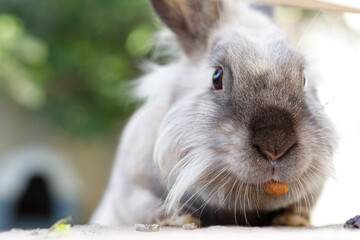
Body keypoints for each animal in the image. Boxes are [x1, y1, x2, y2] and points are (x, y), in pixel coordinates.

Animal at [90, 0, 338, 227]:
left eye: (303, 79)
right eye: (217, 77)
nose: (275, 148)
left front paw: (294, 218)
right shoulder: (128, 190)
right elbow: (145, 207)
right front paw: (180, 217)